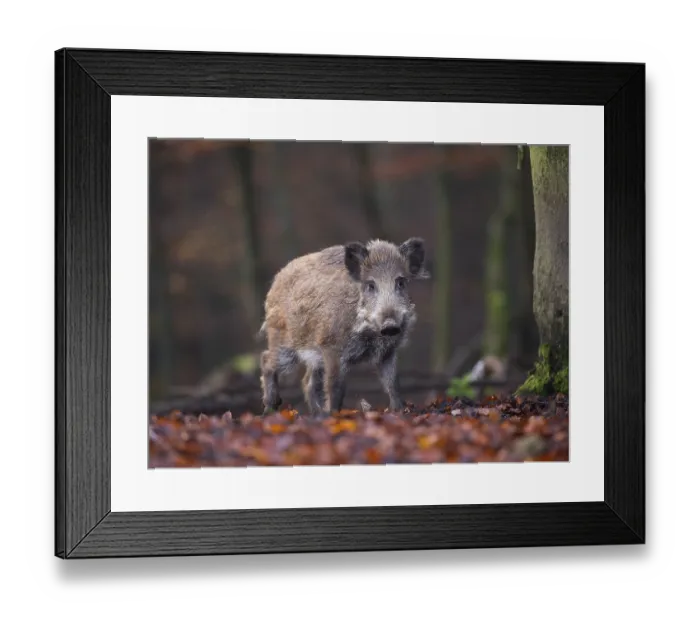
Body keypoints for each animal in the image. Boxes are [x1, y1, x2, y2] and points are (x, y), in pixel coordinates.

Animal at [259, 238, 430, 417]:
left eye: (401, 282)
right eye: (370, 285)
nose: (390, 325)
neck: (368, 334)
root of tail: (276, 281)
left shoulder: (388, 352)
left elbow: (393, 383)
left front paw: (399, 411)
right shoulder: (331, 347)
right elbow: (335, 386)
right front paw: (334, 415)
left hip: (314, 355)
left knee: (307, 381)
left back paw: (316, 413)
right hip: (284, 342)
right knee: (266, 360)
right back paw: (270, 409)